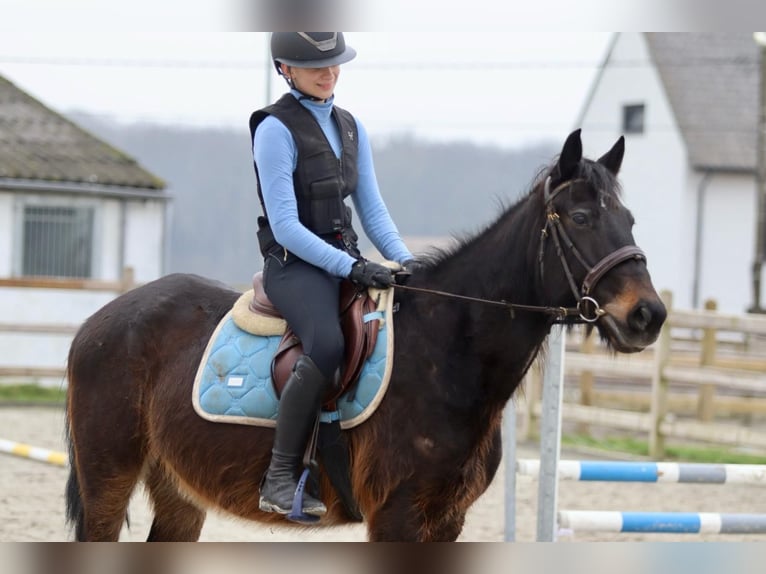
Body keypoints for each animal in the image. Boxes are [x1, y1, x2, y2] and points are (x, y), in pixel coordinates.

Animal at [64, 130, 664, 544]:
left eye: (632, 219)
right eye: (581, 217)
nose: (648, 316)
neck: (448, 354)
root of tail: (99, 321)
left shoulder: (448, 519)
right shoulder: (396, 515)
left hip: (179, 491)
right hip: (108, 481)